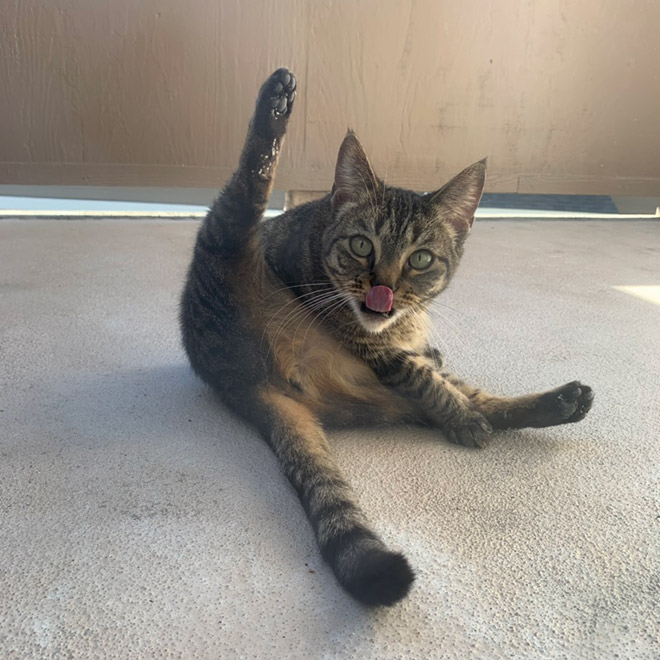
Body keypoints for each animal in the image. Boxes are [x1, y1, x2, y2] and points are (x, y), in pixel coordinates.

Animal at [179, 69, 592, 604]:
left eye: (421, 259)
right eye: (361, 245)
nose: (385, 289)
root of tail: (242, 381)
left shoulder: (395, 349)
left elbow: (436, 376)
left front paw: (460, 401)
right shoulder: (378, 350)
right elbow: (424, 378)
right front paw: (460, 415)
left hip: (372, 395)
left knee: (472, 400)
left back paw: (559, 402)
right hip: (226, 239)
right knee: (250, 183)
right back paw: (274, 105)